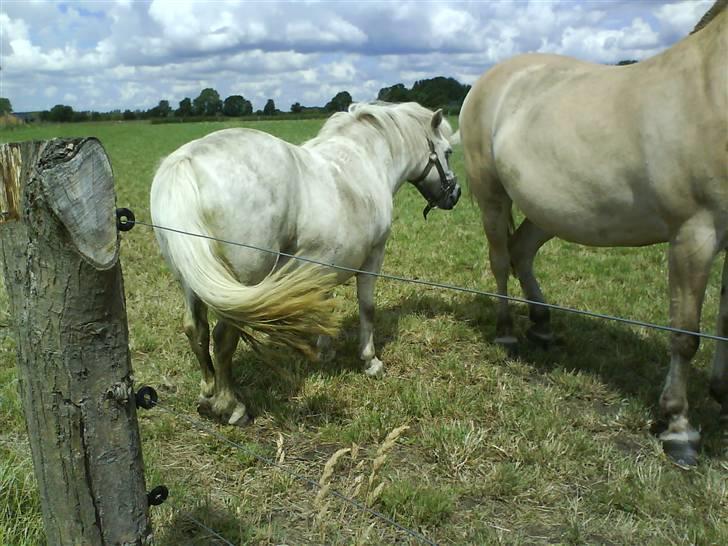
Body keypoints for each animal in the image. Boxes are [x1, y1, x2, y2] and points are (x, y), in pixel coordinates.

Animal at [149, 102, 460, 424]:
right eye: (448, 151)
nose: (455, 194)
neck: (365, 160)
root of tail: (187, 161)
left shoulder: (326, 262)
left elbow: (325, 303)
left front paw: (324, 352)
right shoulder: (374, 256)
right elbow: (367, 307)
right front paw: (370, 361)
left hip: (192, 281)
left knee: (196, 330)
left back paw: (208, 393)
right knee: (223, 338)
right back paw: (232, 407)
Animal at [460, 2, 728, 466]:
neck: (713, 86)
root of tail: (490, 79)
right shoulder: (695, 233)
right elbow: (685, 334)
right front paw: (678, 427)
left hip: (549, 211)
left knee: (521, 252)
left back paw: (543, 325)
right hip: (493, 197)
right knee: (499, 259)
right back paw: (507, 330)